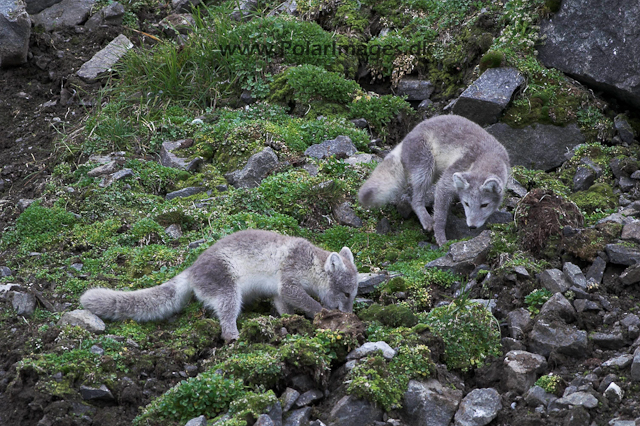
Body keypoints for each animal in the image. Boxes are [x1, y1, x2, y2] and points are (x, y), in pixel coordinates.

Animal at [80, 228, 358, 342]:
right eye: (346, 293)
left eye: (353, 294)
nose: (349, 315)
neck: (312, 262)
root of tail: (191, 270)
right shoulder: (289, 278)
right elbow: (306, 300)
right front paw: (322, 313)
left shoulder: (278, 290)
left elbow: (283, 305)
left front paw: (290, 320)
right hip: (227, 289)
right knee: (226, 318)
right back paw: (233, 336)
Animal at [360, 114, 510, 246]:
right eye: (466, 203)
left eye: (484, 205)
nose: (472, 226)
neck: (488, 155)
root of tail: (405, 139)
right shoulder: (450, 176)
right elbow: (440, 215)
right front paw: (441, 238)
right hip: (425, 165)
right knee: (415, 199)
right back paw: (426, 220)